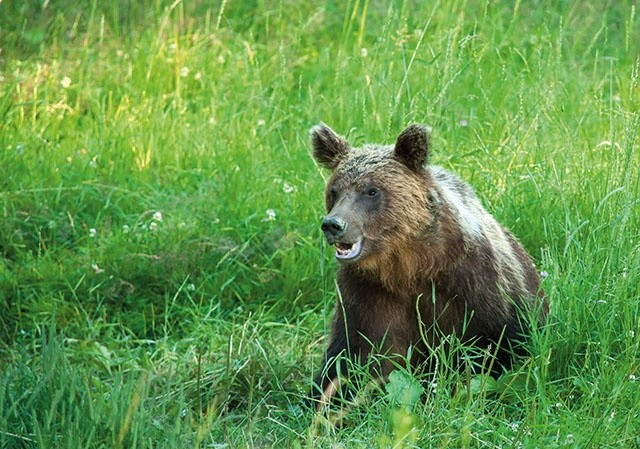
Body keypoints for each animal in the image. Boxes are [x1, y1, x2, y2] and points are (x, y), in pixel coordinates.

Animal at [308, 122, 548, 406]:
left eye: (371, 190)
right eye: (334, 191)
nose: (333, 225)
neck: (407, 266)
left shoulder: (473, 283)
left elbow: (494, 346)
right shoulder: (367, 295)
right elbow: (353, 358)